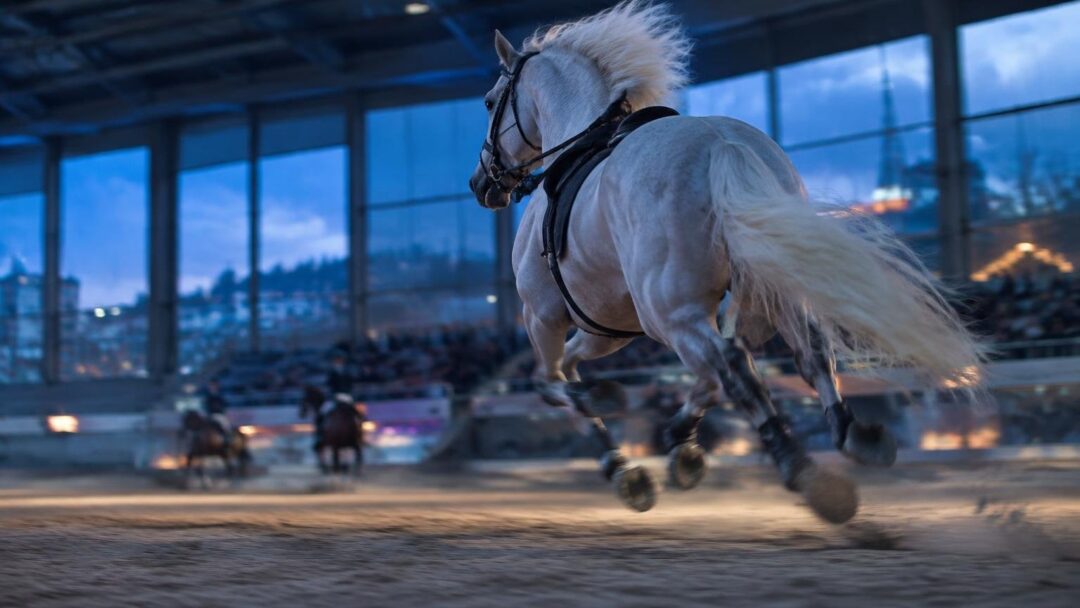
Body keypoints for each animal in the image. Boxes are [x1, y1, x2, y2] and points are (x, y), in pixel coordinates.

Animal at [468, 2, 983, 522]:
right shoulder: (611, 327)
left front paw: (625, 447)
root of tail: (721, 146)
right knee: (807, 352)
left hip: (667, 312)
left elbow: (549, 384)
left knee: (734, 364)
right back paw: (852, 437)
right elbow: (667, 375)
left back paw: (805, 473)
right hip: (758, 297)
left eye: (489, 102)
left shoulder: (548, 317)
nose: (481, 184)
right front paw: (672, 449)